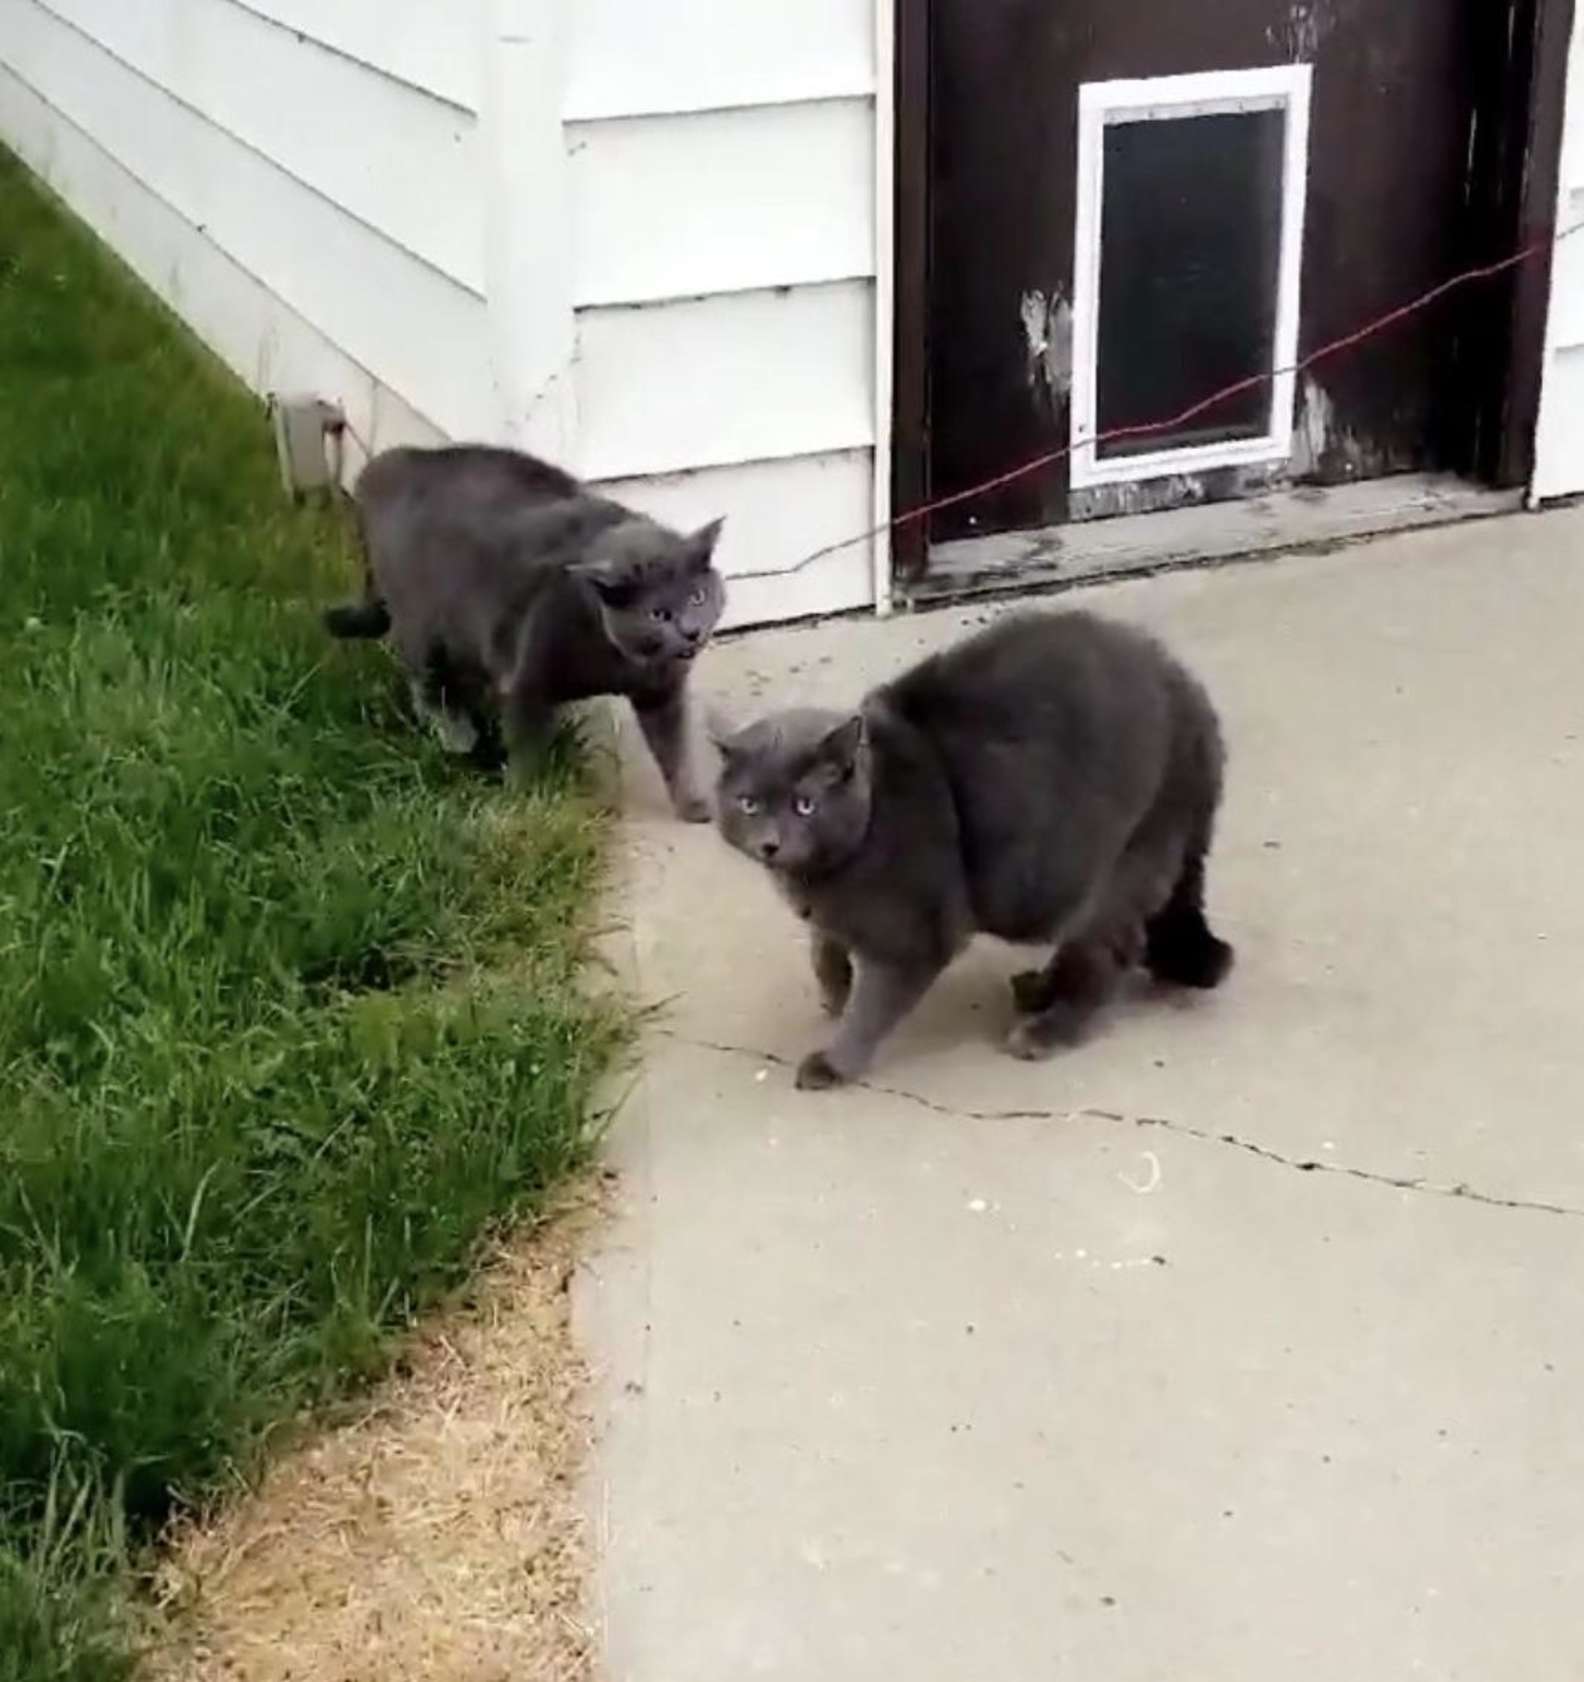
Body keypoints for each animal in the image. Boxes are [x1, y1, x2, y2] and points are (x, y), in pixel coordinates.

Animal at [327, 444, 726, 817]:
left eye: (698, 596)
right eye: (658, 614)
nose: (692, 631)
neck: (620, 660)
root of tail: (387, 464)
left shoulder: (664, 693)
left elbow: (676, 749)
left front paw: (692, 804)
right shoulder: (528, 682)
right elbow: (525, 745)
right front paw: (523, 798)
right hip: (423, 621)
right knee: (426, 680)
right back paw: (457, 735)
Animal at [716, 612, 1237, 1083]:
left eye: (804, 805)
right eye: (749, 803)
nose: (770, 843)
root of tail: (1196, 707)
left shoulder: (913, 936)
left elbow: (871, 1006)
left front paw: (835, 1061)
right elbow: (824, 944)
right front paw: (834, 989)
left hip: (1119, 866)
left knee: (1108, 954)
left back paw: (1046, 1031)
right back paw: (1037, 987)